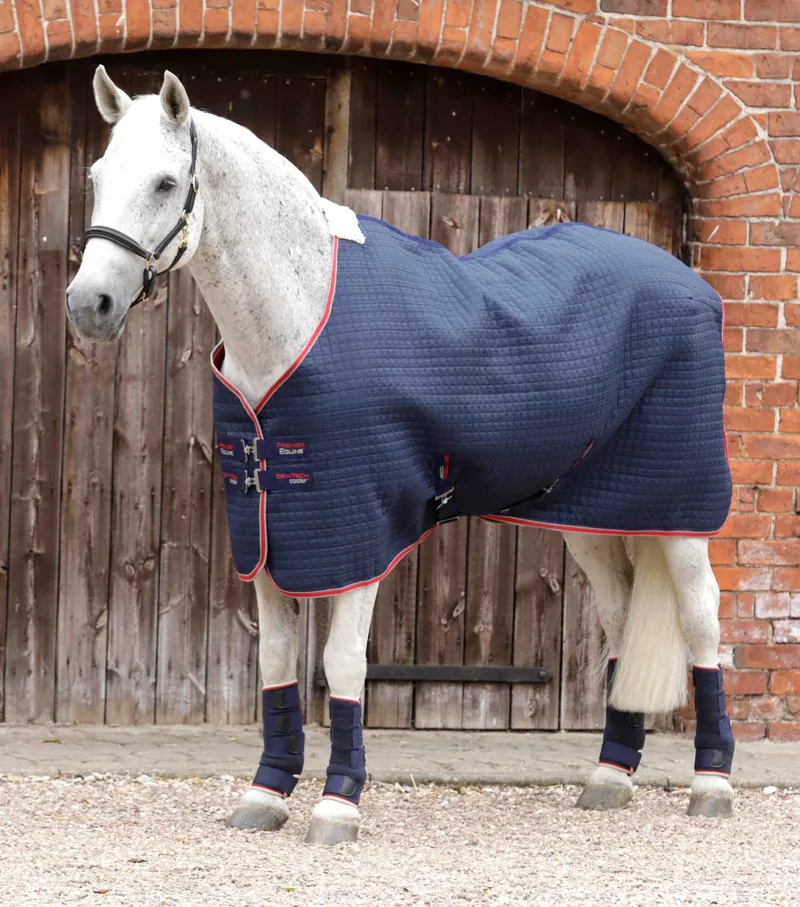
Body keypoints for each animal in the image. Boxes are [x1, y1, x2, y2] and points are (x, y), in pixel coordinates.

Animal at [66, 66, 736, 845]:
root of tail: (692, 284)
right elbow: (276, 662)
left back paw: (712, 784)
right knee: (622, 614)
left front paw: (337, 804)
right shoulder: (266, 534)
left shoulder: (360, 533)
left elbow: (342, 665)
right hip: (589, 515)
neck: (299, 316)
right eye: (97, 175)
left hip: (681, 510)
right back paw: (609, 777)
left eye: (167, 182)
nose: (89, 303)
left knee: (703, 620)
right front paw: (267, 794)